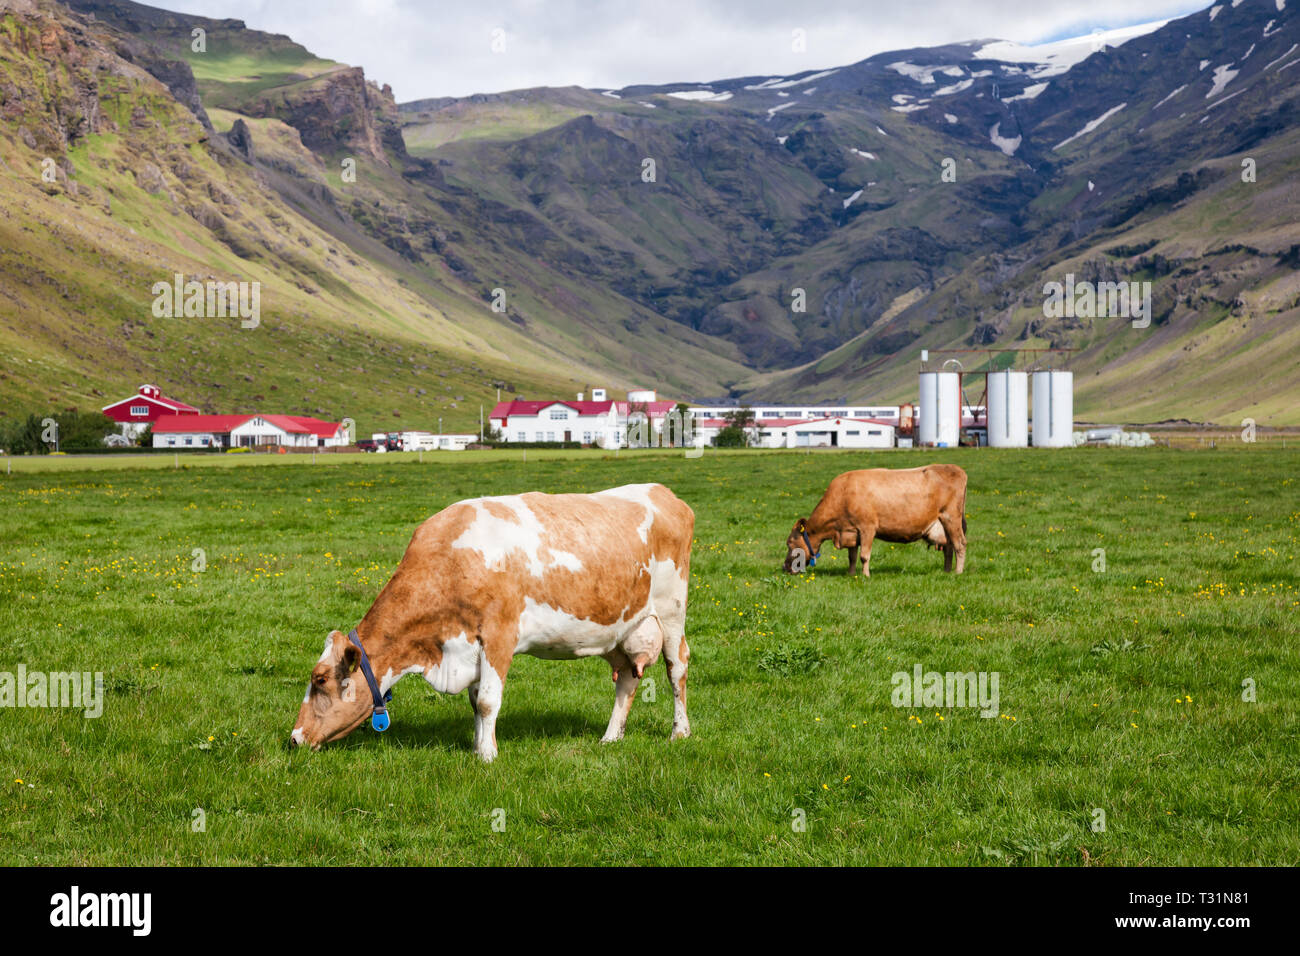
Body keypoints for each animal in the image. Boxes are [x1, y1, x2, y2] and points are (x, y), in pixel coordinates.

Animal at [289, 486, 696, 764]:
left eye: (320, 680)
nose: (294, 738)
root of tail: (664, 493)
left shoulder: (499, 635)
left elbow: (486, 700)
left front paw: (487, 756)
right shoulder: (469, 646)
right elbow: (474, 702)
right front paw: (477, 745)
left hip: (671, 613)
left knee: (677, 669)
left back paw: (680, 733)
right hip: (622, 630)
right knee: (627, 678)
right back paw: (611, 738)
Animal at [780, 463, 967, 574]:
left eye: (790, 543)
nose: (785, 567)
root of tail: (955, 469)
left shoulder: (867, 528)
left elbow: (864, 555)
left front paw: (865, 576)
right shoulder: (851, 531)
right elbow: (852, 556)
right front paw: (851, 574)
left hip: (952, 517)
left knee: (959, 544)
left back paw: (957, 573)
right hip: (944, 523)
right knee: (949, 546)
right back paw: (946, 571)